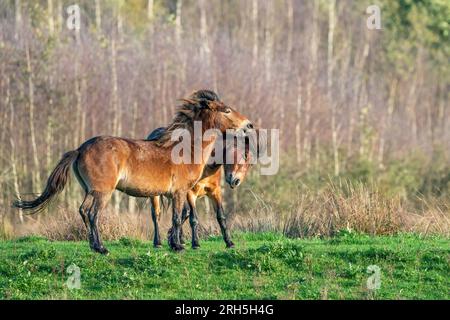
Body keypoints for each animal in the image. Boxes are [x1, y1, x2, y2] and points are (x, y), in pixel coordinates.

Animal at [13, 89, 253, 252]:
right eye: (227, 110)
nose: (249, 125)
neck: (186, 148)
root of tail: (80, 148)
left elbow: (179, 218)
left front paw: (176, 243)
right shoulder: (180, 192)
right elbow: (177, 218)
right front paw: (178, 246)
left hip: (90, 190)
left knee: (83, 211)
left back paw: (93, 245)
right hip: (103, 192)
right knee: (92, 214)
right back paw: (101, 248)